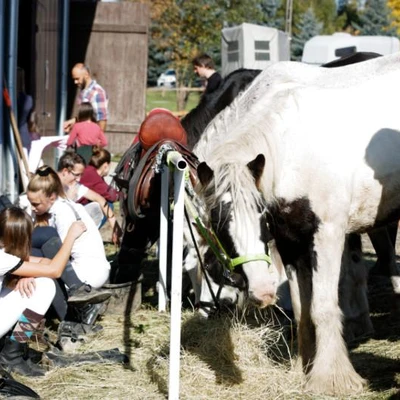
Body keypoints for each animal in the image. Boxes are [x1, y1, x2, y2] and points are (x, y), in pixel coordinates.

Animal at [195, 54, 400, 396]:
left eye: (260, 213)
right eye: (220, 223)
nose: (263, 292)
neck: (293, 151)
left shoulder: (328, 235)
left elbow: (323, 306)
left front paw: (332, 379)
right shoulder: (291, 242)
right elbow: (303, 312)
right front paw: (304, 369)